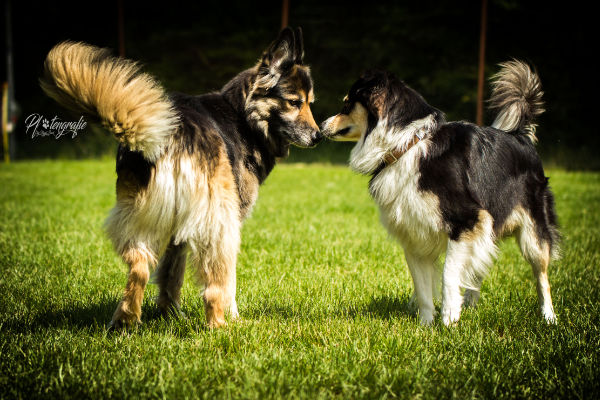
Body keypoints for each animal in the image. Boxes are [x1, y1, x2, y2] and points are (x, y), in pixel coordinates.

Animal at [322, 61, 560, 324]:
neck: (408, 145)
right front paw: (426, 325)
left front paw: (448, 318)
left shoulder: (467, 221)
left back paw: (548, 317)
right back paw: (471, 305)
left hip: (533, 233)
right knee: (479, 269)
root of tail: (521, 136)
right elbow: (422, 287)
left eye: (347, 104)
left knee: (541, 276)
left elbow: (449, 273)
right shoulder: (414, 234)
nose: (320, 126)